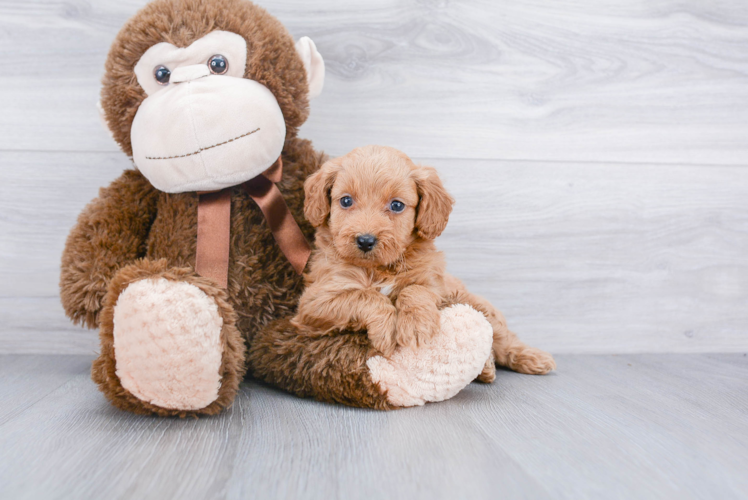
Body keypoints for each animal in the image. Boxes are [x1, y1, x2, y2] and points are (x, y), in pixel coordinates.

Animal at [292, 145, 556, 378]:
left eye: (396, 205)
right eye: (346, 201)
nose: (365, 241)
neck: (380, 269)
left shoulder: (435, 284)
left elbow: (415, 290)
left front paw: (415, 325)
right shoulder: (314, 302)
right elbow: (364, 296)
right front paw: (386, 329)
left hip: (479, 306)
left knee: (503, 340)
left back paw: (531, 359)